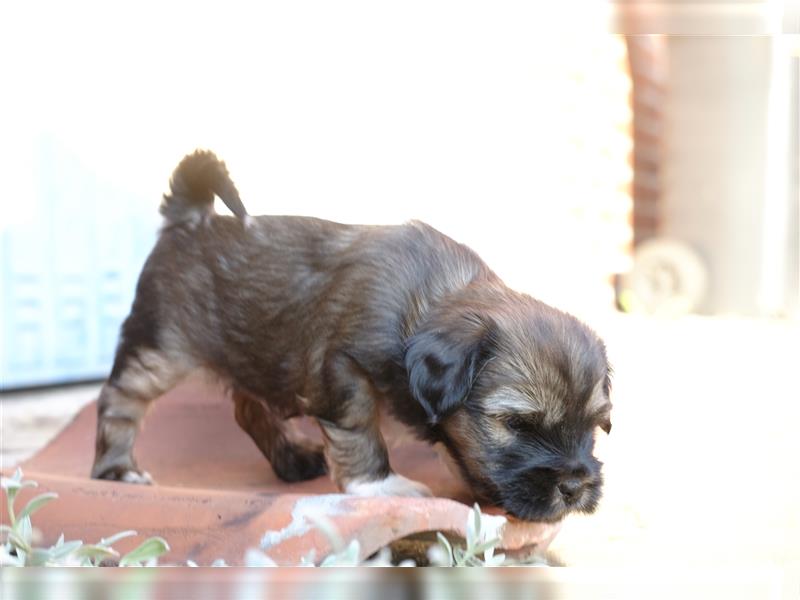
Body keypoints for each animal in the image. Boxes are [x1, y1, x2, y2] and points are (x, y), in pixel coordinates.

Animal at [90, 152, 612, 524]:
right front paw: (381, 486)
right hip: (161, 345)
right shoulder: (341, 367)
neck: (424, 302)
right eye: (518, 425)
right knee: (120, 399)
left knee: (247, 407)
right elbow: (359, 427)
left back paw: (291, 459)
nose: (574, 486)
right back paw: (117, 470)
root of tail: (190, 218)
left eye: (593, 425)